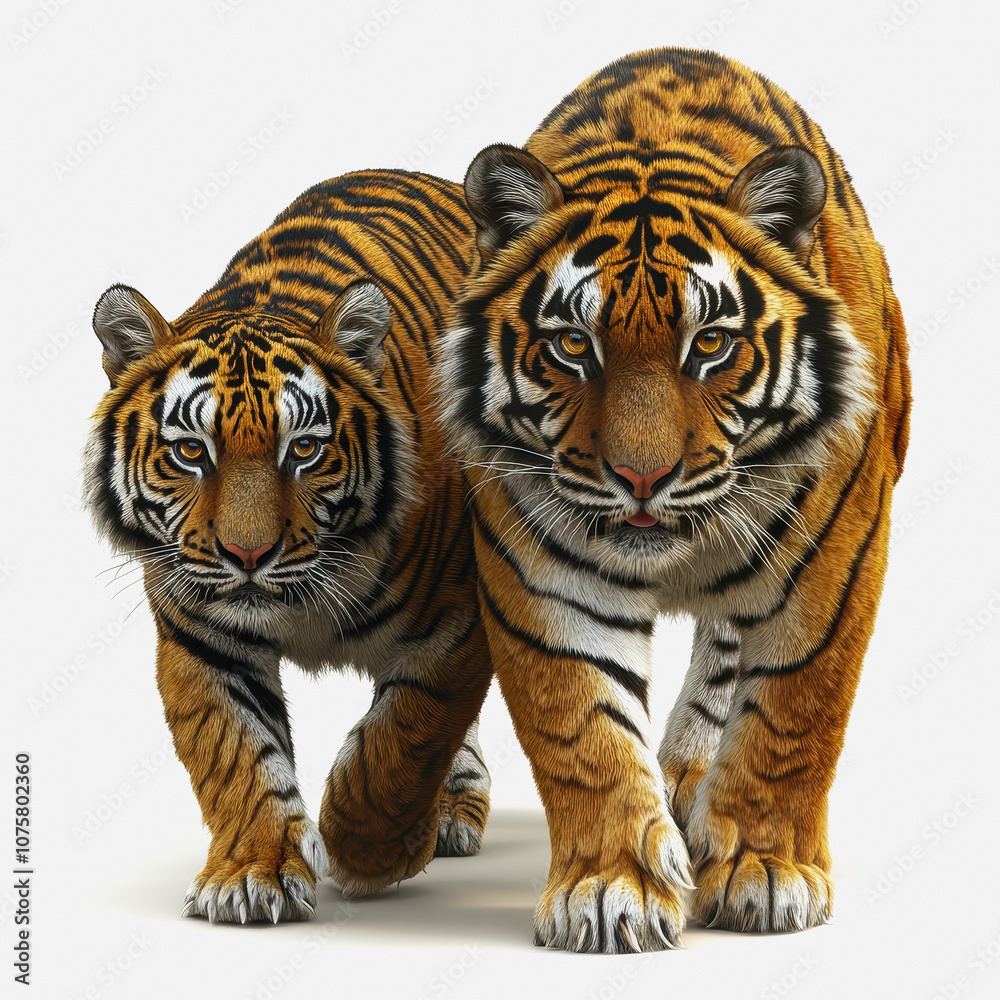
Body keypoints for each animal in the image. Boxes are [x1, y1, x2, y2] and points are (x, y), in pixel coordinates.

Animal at [83, 169, 494, 924]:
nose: (248, 557)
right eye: (191, 452)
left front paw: (365, 847)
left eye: (303, 449)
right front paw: (252, 876)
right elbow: (238, 754)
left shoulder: (455, 623)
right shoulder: (204, 639)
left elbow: (407, 733)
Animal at [438, 47, 911, 953]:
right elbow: (583, 728)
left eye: (712, 344)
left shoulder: (833, 564)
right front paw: (607, 889)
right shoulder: (541, 568)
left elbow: (791, 713)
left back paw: (695, 779)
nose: (641, 478)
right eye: (572, 345)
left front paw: (766, 872)